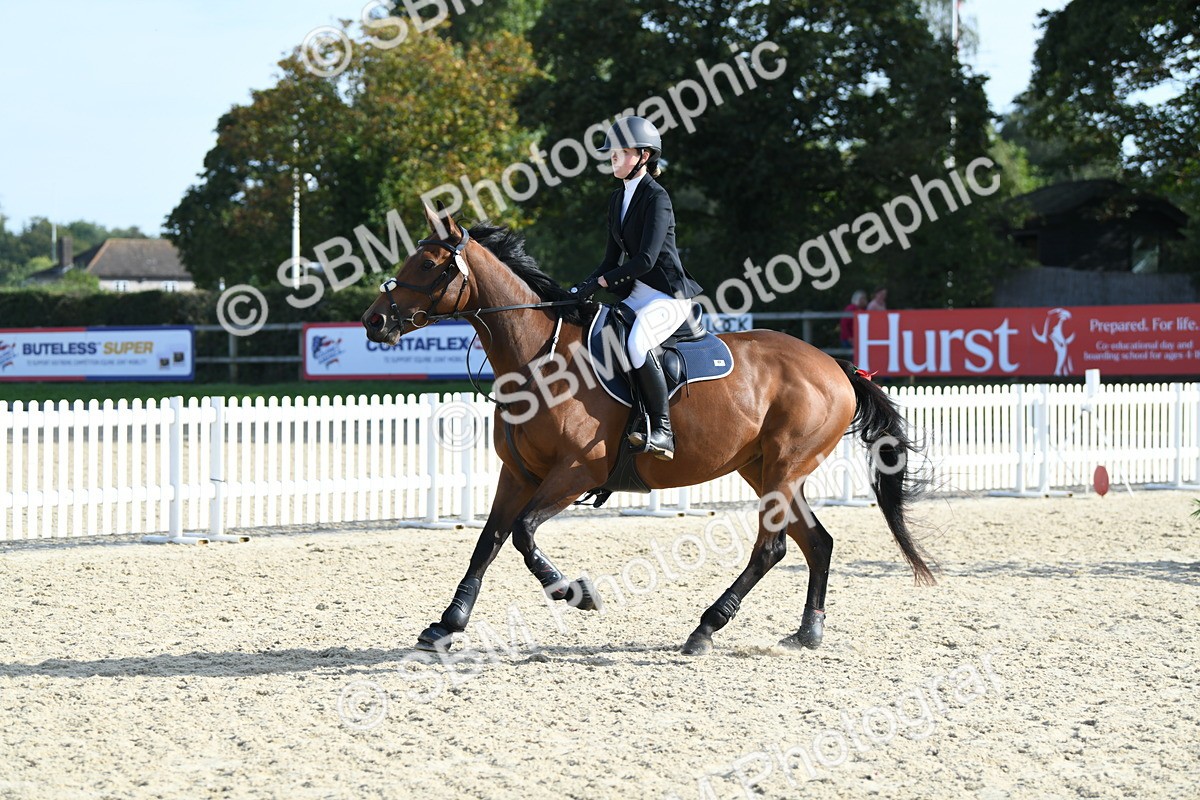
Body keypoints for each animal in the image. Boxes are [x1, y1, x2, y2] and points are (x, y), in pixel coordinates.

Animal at [362, 207, 934, 655]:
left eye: (428, 264)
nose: (373, 321)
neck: (538, 357)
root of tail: (835, 366)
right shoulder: (519, 474)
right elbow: (490, 540)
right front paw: (446, 625)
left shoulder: (577, 470)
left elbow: (523, 534)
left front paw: (575, 592)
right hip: (764, 470)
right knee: (816, 541)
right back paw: (807, 632)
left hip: (784, 468)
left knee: (772, 548)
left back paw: (706, 628)